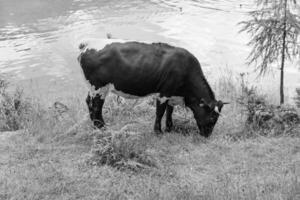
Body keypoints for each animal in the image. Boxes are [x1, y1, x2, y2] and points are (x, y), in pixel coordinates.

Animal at [77, 41, 227, 137]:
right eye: (212, 118)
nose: (207, 135)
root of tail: (86, 47)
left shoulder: (172, 95)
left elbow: (169, 111)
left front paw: (169, 128)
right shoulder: (164, 93)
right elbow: (160, 112)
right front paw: (158, 132)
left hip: (92, 87)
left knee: (88, 102)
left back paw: (95, 126)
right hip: (99, 87)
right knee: (97, 107)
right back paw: (101, 127)